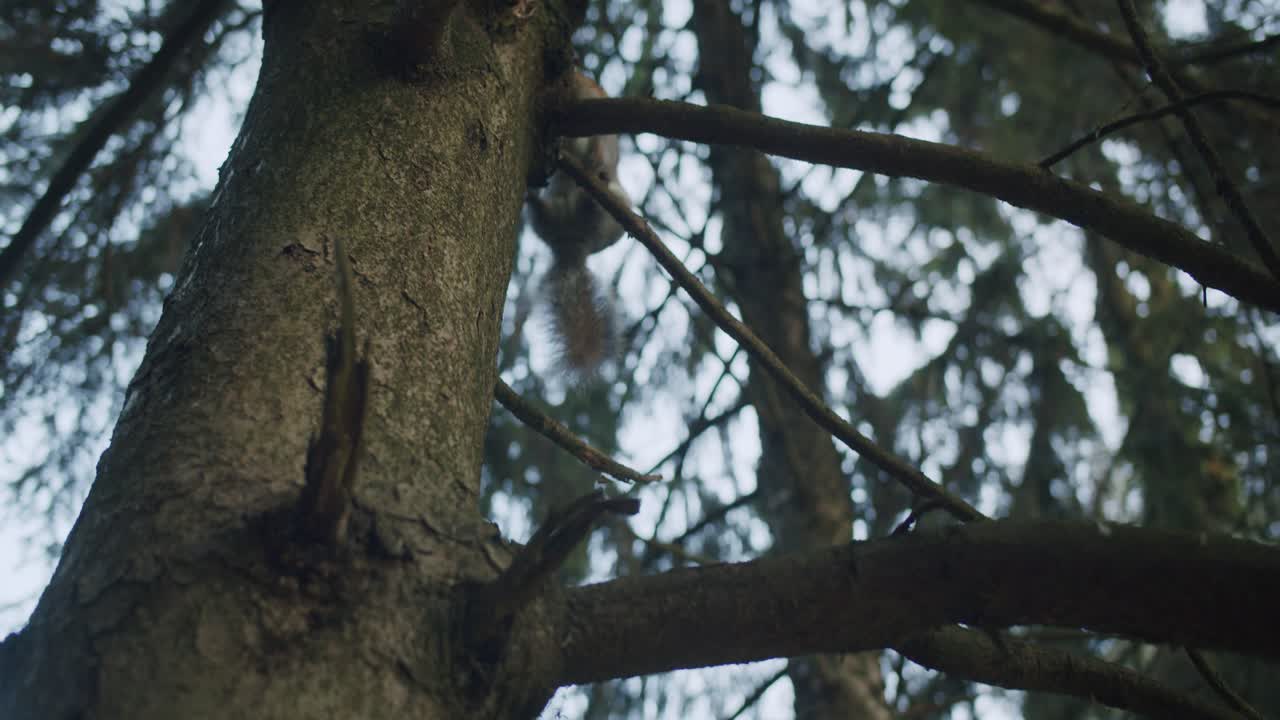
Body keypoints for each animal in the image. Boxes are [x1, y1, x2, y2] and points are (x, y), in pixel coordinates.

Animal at [527, 69, 628, 376]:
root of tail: (572, 246)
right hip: (552, 216)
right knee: (544, 216)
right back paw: (534, 199)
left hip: (609, 216)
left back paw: (592, 199)